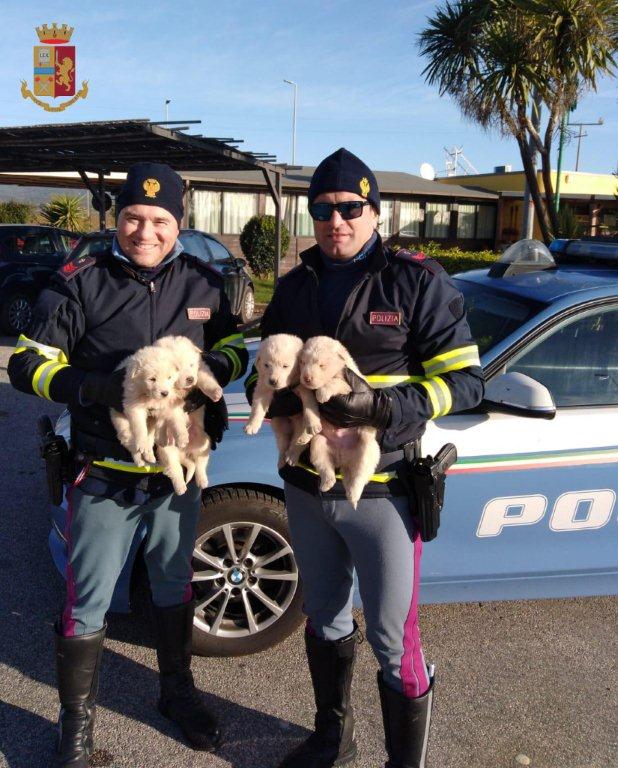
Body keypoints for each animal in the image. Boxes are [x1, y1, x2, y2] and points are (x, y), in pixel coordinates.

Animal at [242, 334, 318, 468]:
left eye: (285, 366)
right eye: (266, 365)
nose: (273, 381)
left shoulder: (304, 386)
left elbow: (309, 404)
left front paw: (313, 423)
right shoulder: (263, 385)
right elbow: (257, 407)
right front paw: (251, 425)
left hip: (299, 424)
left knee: (300, 441)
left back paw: (294, 453)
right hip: (279, 423)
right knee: (283, 443)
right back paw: (283, 459)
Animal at [298, 338, 380, 510]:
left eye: (322, 365)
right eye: (302, 362)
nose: (306, 378)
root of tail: (343, 461)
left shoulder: (347, 384)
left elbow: (333, 383)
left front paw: (322, 394)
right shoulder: (305, 390)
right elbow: (307, 399)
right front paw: (309, 426)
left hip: (367, 449)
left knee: (359, 477)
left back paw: (353, 497)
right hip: (319, 444)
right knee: (326, 468)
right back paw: (326, 483)